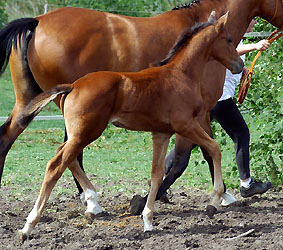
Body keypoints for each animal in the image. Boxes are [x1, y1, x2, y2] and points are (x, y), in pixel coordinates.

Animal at [0, 0, 283, 196]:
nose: (239, 66)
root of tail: (37, 21)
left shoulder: (196, 114)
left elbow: (197, 153)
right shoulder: (197, 113)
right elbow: (188, 156)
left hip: (29, 102)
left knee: (8, 139)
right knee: (70, 154)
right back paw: (91, 201)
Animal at [16, 12, 244, 241]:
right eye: (229, 40)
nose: (240, 65)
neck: (180, 74)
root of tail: (72, 86)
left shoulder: (161, 133)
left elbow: (156, 174)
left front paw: (148, 221)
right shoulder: (186, 125)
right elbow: (214, 148)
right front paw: (213, 203)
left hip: (80, 134)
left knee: (65, 157)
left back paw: (91, 205)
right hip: (86, 133)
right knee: (56, 165)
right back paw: (28, 226)